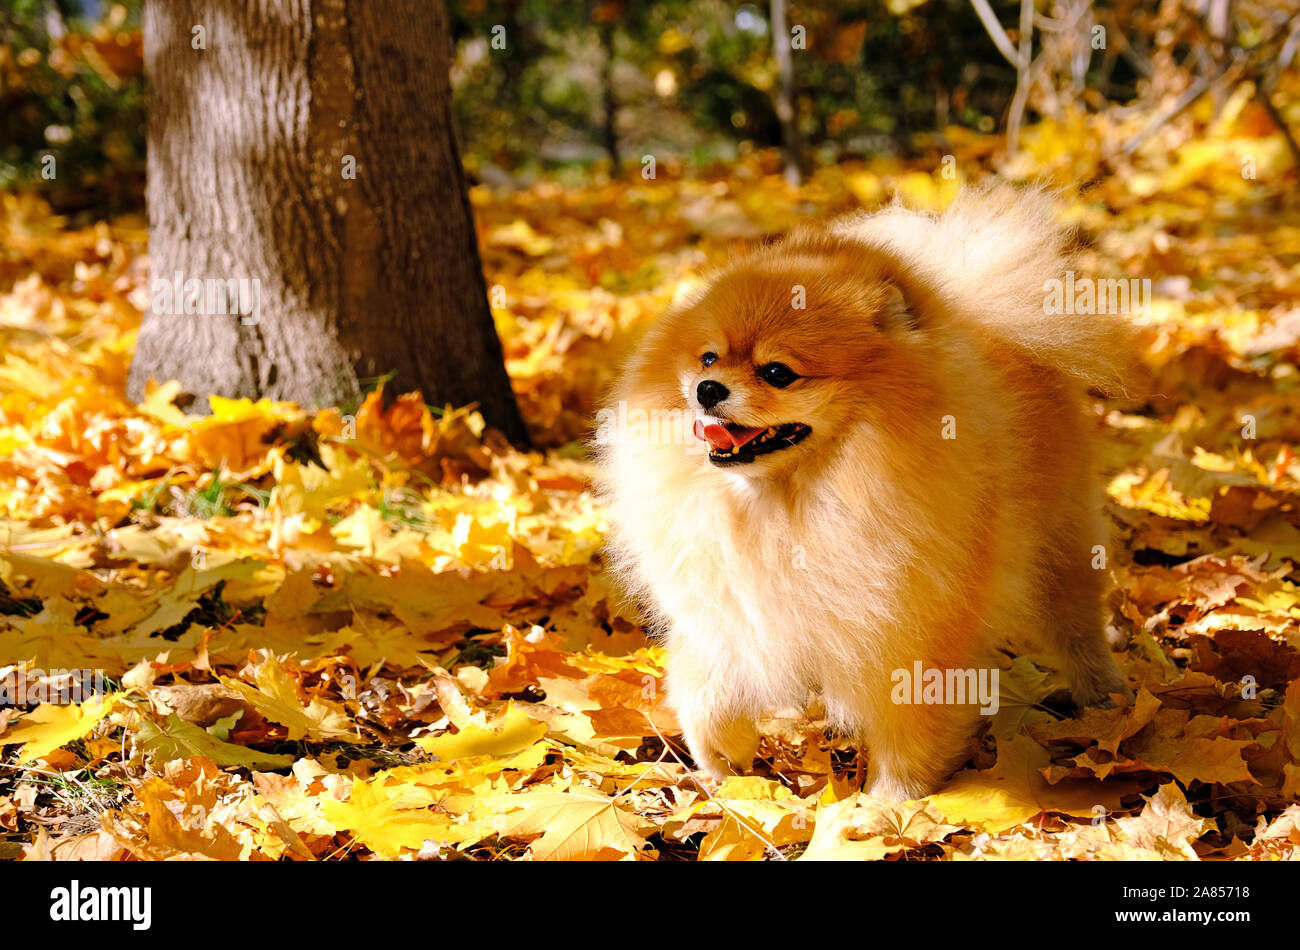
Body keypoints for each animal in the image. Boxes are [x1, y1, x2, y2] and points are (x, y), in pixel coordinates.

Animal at [595, 187, 1133, 800]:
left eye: (777, 372)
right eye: (708, 357)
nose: (707, 388)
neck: (789, 503)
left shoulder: (912, 628)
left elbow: (908, 725)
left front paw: (889, 804)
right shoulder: (730, 605)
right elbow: (708, 689)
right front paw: (724, 761)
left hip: (1062, 546)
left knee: (1077, 624)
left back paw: (1106, 702)